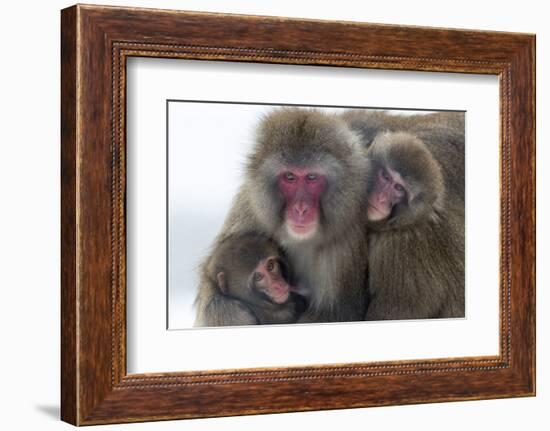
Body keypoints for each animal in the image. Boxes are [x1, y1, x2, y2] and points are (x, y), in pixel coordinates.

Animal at [195, 107, 370, 324]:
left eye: (312, 177)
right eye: (289, 177)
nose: (300, 209)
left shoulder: (347, 238)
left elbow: (336, 312)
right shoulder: (251, 206)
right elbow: (211, 276)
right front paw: (229, 311)